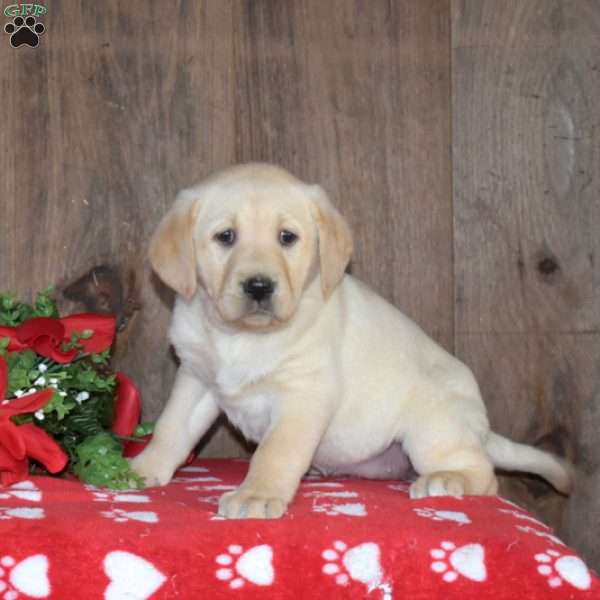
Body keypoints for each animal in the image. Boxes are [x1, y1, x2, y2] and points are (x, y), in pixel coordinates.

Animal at [131, 162, 572, 516]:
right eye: (225, 236)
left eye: (287, 237)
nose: (259, 286)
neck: (242, 337)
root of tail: (480, 428)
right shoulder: (196, 380)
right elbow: (171, 429)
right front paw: (141, 470)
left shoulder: (304, 395)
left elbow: (275, 452)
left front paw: (257, 495)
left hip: (433, 424)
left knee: (484, 473)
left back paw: (448, 480)